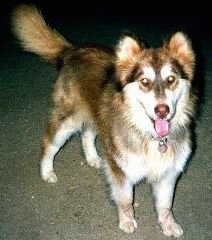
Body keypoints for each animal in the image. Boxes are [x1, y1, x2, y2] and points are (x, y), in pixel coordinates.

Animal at [11, 4, 196, 238]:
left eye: (171, 79)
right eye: (144, 81)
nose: (162, 110)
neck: (150, 136)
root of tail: (73, 50)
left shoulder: (168, 172)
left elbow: (165, 204)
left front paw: (168, 224)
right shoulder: (120, 169)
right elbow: (125, 199)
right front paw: (127, 221)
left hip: (96, 116)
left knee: (87, 135)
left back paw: (92, 157)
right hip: (68, 120)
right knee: (49, 144)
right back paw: (47, 172)